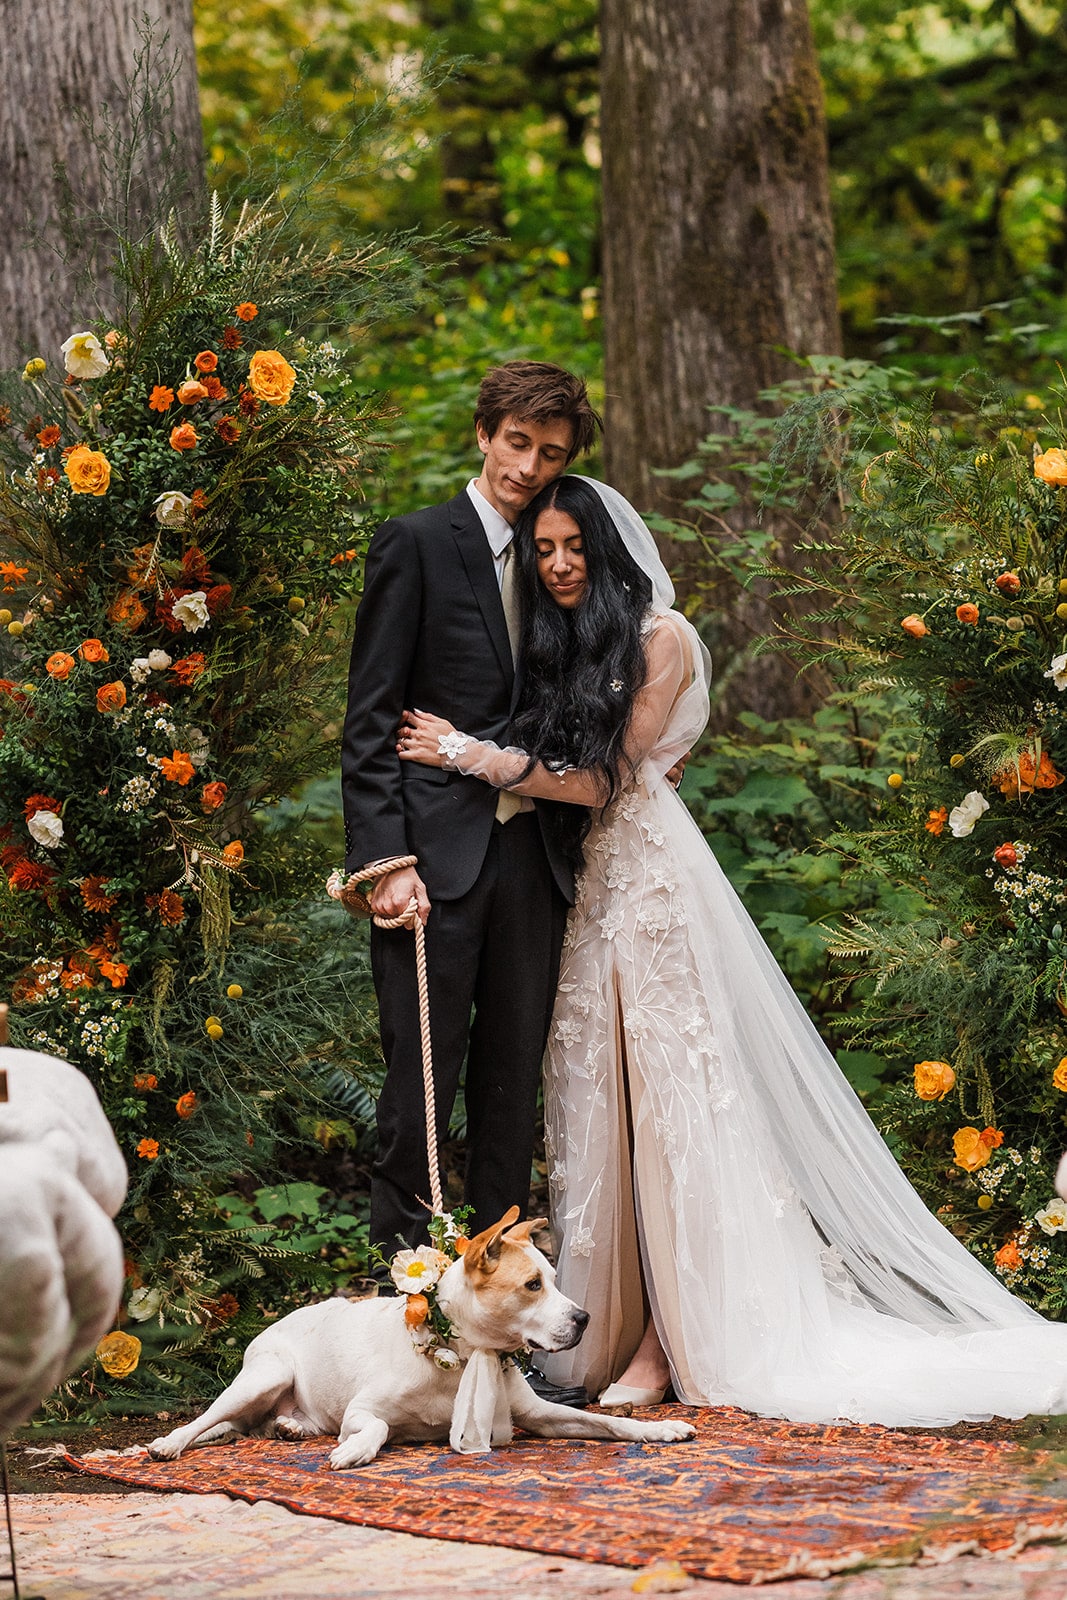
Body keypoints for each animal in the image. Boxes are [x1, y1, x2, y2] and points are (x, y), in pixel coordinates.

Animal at [151, 1203, 700, 1465]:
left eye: (554, 1279)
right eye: (532, 1285)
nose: (584, 1318)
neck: (462, 1354)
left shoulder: (541, 1416)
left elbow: (608, 1423)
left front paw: (658, 1429)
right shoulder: (362, 1409)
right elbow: (376, 1427)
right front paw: (357, 1450)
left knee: (261, 1424)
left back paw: (291, 1427)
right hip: (264, 1375)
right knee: (205, 1420)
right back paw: (168, 1445)